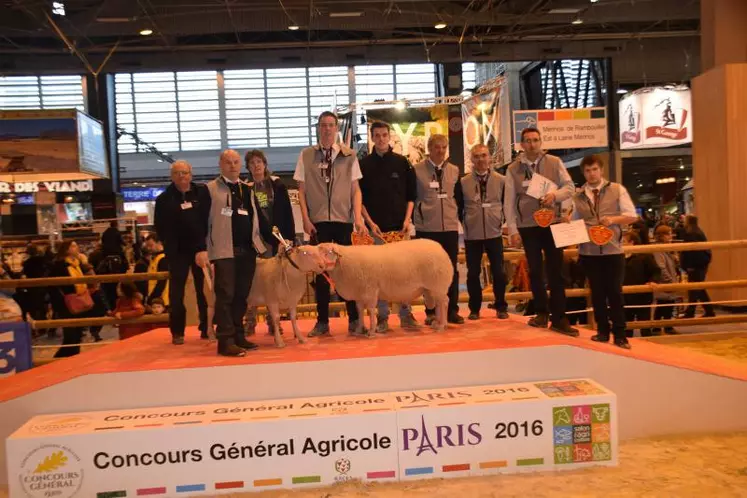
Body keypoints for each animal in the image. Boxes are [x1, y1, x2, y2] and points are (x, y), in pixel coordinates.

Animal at [318, 238, 452, 334]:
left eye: (328, 252)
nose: (319, 265)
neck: (344, 263)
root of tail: (441, 248)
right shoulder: (359, 293)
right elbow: (360, 310)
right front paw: (359, 330)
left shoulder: (370, 289)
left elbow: (371, 310)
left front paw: (371, 332)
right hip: (432, 288)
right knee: (439, 303)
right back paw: (438, 323)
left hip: (438, 284)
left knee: (444, 302)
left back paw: (442, 325)